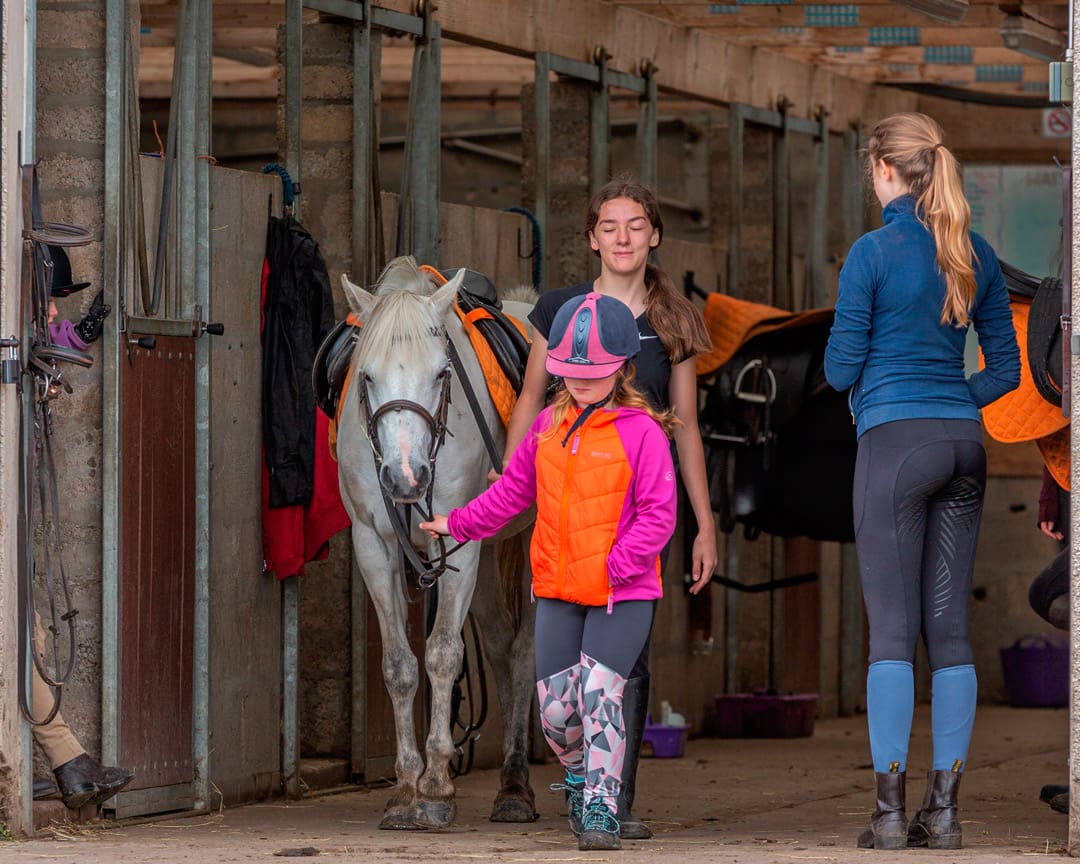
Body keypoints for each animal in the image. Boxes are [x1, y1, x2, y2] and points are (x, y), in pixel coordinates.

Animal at [339, 257, 537, 829]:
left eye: (442, 373)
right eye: (366, 375)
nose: (406, 477)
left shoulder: (460, 547)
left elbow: (444, 654)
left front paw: (435, 786)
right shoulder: (373, 546)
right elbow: (400, 667)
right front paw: (405, 788)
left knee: (526, 652)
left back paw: (516, 790)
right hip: (490, 559)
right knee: (500, 647)